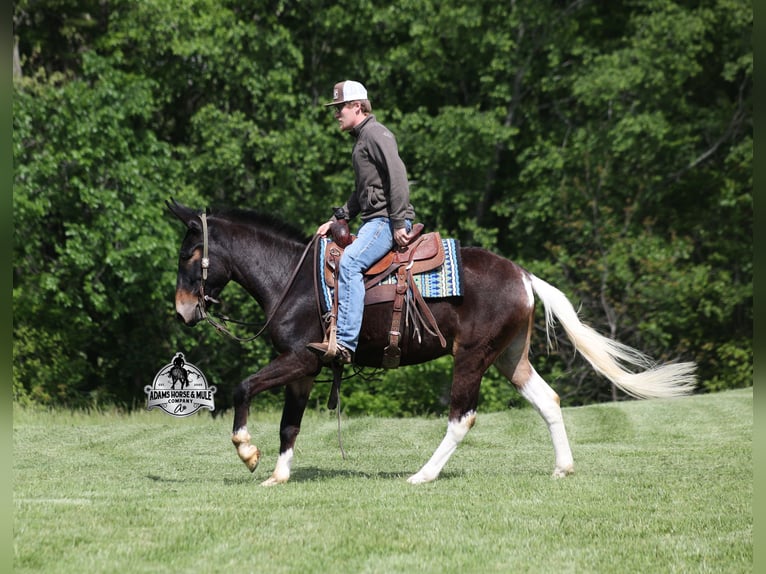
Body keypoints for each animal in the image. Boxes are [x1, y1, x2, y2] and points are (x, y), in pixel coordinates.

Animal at [167, 200, 696, 486]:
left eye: (190, 254)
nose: (183, 311)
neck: (294, 281)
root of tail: (524, 275)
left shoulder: (297, 359)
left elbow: (243, 387)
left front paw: (246, 452)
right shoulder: (305, 368)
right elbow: (289, 425)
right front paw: (278, 474)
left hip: (473, 357)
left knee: (462, 417)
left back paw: (423, 474)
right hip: (510, 357)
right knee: (548, 400)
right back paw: (562, 468)